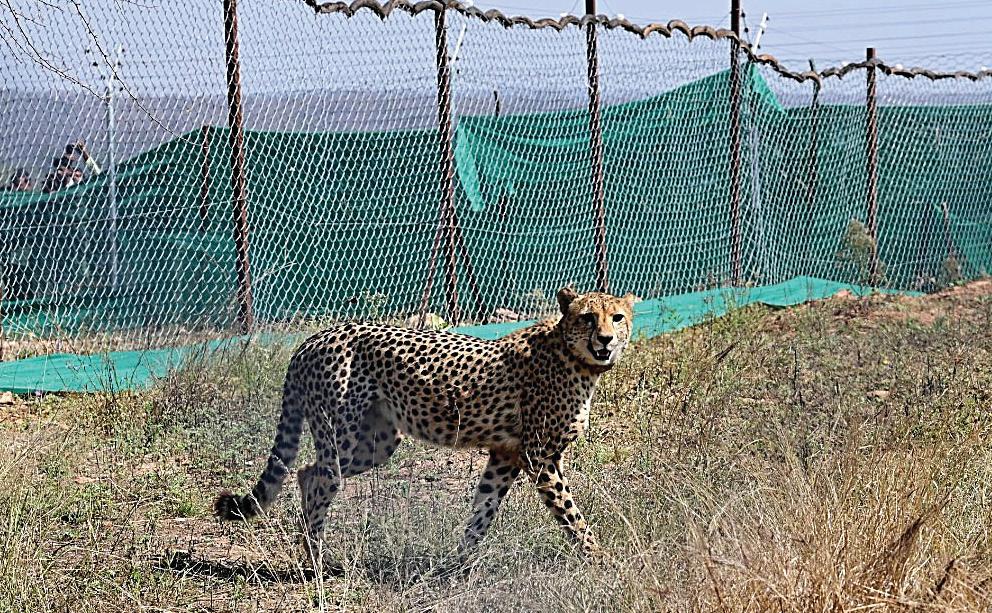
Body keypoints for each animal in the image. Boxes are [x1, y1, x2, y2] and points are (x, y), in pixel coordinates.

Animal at [215, 286, 636, 564]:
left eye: (617, 317)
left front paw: (456, 565)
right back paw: (317, 562)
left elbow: (482, 511)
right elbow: (571, 515)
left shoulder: (505, 455)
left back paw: (312, 551)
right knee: (320, 478)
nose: (605, 339)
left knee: (305, 472)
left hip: (377, 442)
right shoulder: (539, 457)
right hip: (342, 435)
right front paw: (602, 561)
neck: (574, 355)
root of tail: (314, 338)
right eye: (588, 317)